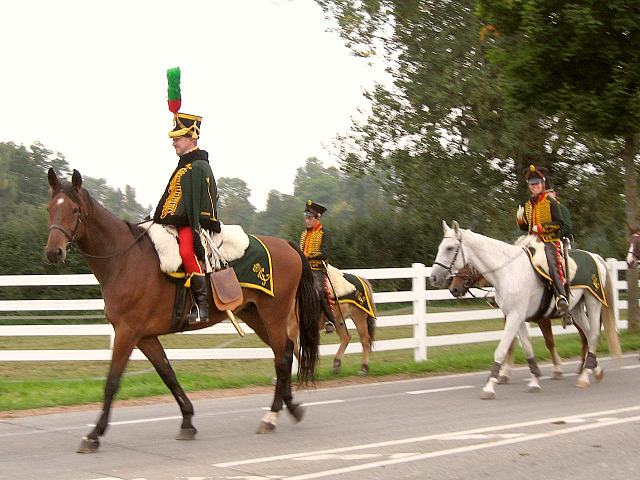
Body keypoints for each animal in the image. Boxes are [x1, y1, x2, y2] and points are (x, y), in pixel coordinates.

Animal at [44, 170, 320, 454]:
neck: (125, 260)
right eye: (50, 209)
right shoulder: (145, 337)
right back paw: (291, 407)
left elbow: (112, 381)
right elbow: (168, 373)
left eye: (75, 210)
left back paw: (272, 415)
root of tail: (287, 246)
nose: (54, 252)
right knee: (284, 352)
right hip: (255, 316)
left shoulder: (127, 332)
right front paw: (187, 420)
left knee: (283, 358)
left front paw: (94, 434)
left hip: (273, 314)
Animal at [450, 262, 584, 382]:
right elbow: (511, 344)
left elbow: (549, 343)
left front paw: (557, 370)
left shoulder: (542, 320)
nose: (453, 289)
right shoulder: (511, 318)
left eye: (467, 264)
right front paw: (504, 373)